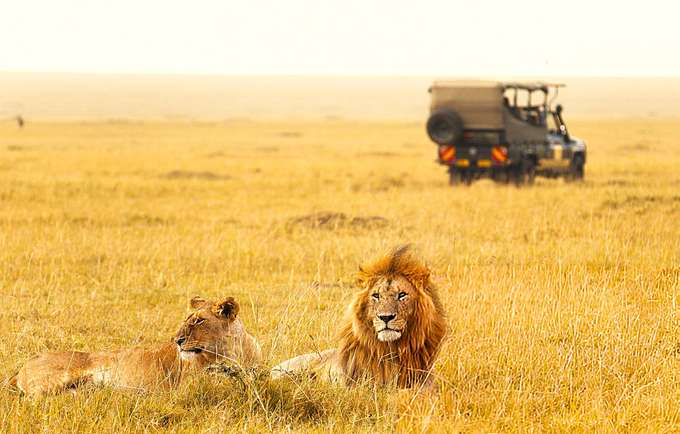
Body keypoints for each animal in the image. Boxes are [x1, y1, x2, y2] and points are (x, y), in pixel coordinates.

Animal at [10, 296, 261, 397]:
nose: (177, 340)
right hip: (54, 379)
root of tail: (22, 367)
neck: (234, 351)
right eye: (188, 319)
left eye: (199, 321)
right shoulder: (187, 387)